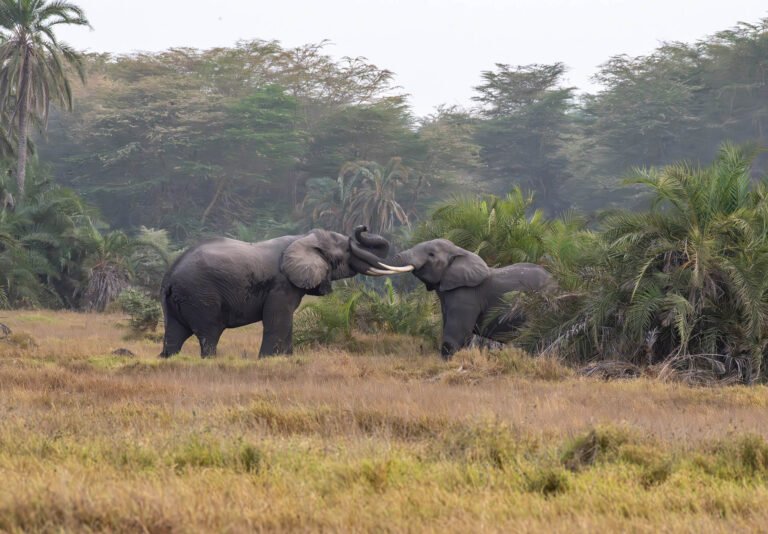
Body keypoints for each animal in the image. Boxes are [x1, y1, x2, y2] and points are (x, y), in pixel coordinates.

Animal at [155, 227, 396, 360]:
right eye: (347, 251)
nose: (362, 227)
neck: (304, 237)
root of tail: (170, 277)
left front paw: (286, 359)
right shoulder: (281, 284)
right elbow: (278, 318)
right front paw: (268, 360)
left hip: (176, 300)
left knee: (174, 334)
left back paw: (167, 359)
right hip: (201, 295)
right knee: (209, 333)